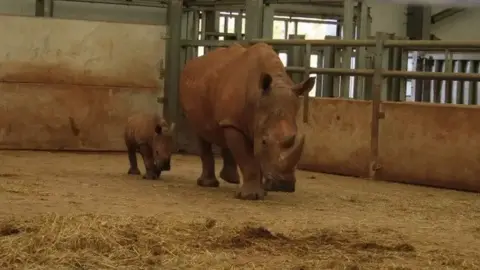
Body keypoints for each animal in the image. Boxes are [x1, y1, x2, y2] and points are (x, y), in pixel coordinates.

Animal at [180, 41, 316, 199]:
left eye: (296, 138)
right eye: (264, 141)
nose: (284, 186)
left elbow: (257, 157)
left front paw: (262, 193)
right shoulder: (237, 125)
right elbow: (247, 158)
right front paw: (250, 196)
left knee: (222, 130)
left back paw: (231, 179)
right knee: (201, 132)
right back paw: (208, 184)